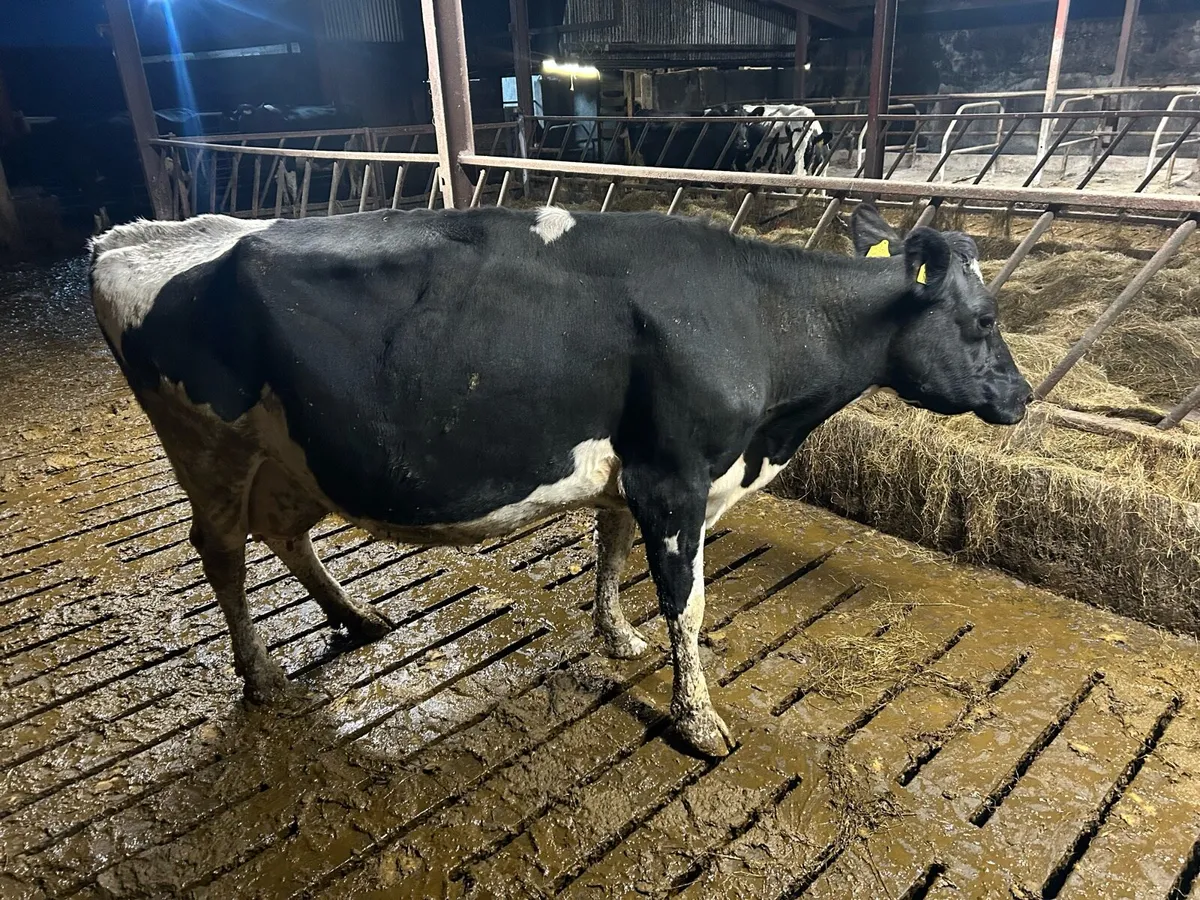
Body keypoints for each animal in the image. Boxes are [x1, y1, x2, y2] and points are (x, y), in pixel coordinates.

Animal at [88, 203, 1031, 758]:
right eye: (985, 319)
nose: (1021, 398)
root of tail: (129, 236)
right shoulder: (675, 476)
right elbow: (687, 603)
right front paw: (699, 720)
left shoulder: (629, 473)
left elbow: (610, 554)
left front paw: (616, 637)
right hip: (208, 446)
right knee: (221, 552)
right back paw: (262, 677)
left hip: (293, 452)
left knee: (283, 531)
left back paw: (356, 619)